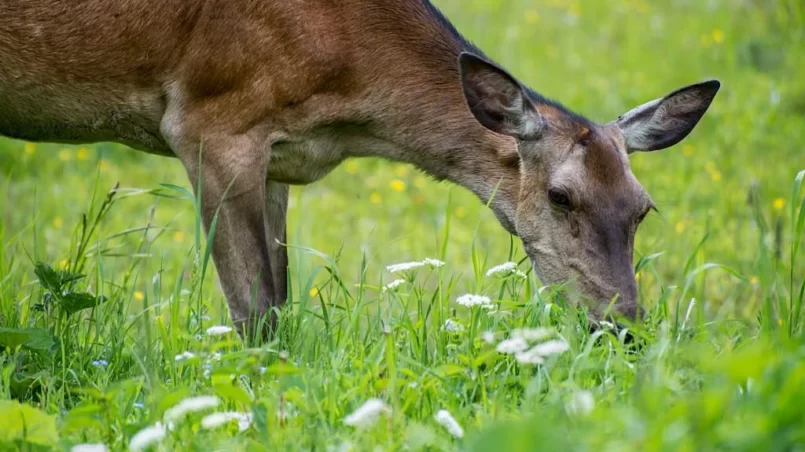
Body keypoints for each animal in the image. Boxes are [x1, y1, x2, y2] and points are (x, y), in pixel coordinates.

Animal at [0, 0, 716, 340]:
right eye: (562, 197)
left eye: (643, 208)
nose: (623, 325)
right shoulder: (209, 118)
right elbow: (253, 313)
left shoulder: (277, 160)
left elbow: (279, 301)